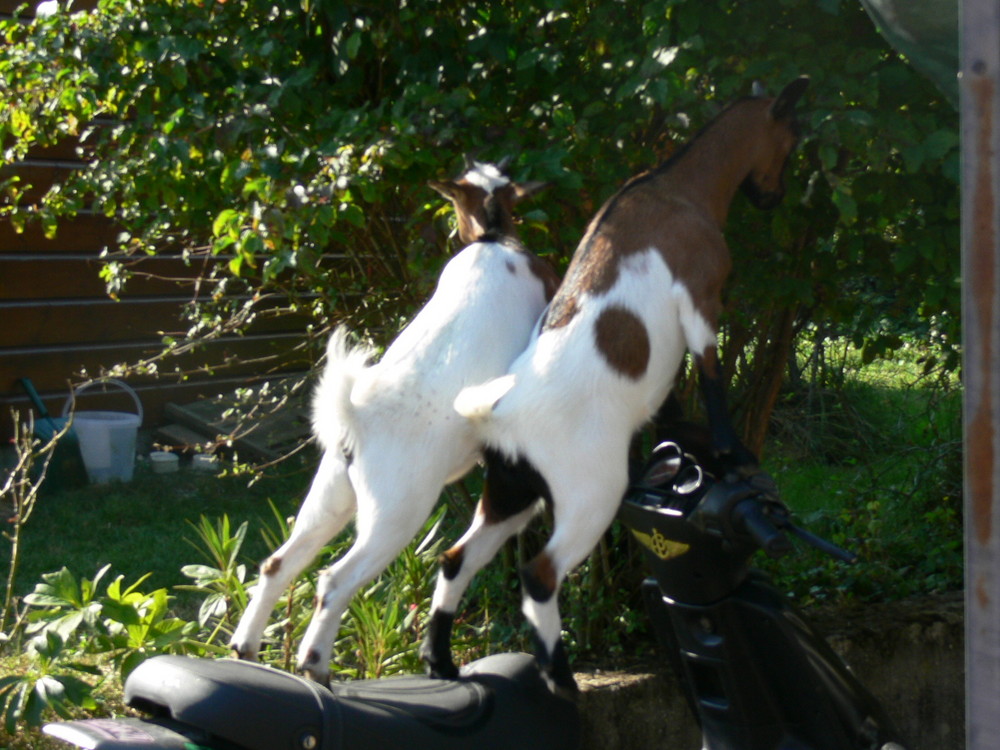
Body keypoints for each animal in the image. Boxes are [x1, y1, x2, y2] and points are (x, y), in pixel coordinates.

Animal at [229, 160, 556, 688]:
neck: (493, 238)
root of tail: (356, 422)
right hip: (396, 514)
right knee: (334, 580)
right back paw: (314, 664)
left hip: (331, 496)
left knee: (279, 563)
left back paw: (246, 646)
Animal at [418, 78, 808, 692]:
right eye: (791, 139)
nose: (773, 197)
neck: (678, 189)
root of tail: (498, 412)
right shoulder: (702, 296)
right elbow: (711, 373)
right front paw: (731, 453)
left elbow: (672, 400)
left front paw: (686, 447)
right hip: (590, 497)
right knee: (539, 573)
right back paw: (559, 677)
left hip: (512, 492)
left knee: (458, 557)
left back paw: (441, 659)